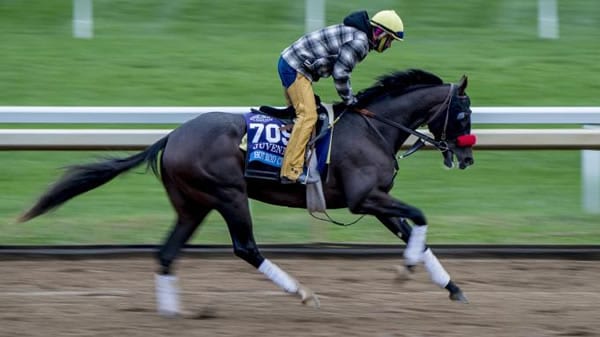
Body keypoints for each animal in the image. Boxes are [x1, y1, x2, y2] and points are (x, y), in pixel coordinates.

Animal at [21, 69, 476, 316]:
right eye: (463, 113)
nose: (467, 157)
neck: (374, 127)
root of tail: (171, 136)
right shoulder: (364, 197)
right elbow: (420, 217)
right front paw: (406, 268)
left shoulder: (376, 200)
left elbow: (415, 230)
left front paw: (452, 288)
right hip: (228, 194)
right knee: (245, 247)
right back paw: (303, 293)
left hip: (192, 205)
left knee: (166, 253)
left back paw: (172, 313)